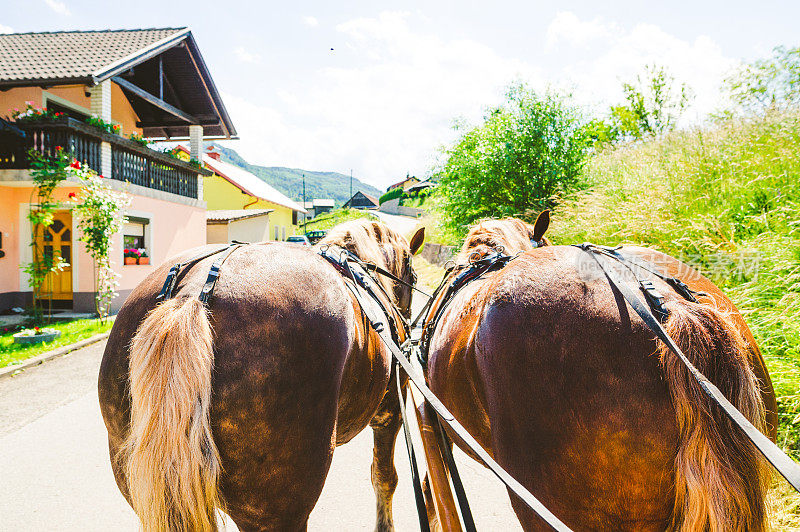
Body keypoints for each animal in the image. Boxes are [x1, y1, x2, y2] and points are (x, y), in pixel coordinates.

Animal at [99, 218, 424, 528]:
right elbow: (384, 478)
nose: (407, 319)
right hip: (274, 510)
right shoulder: (391, 412)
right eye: (413, 274)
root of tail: (192, 292)